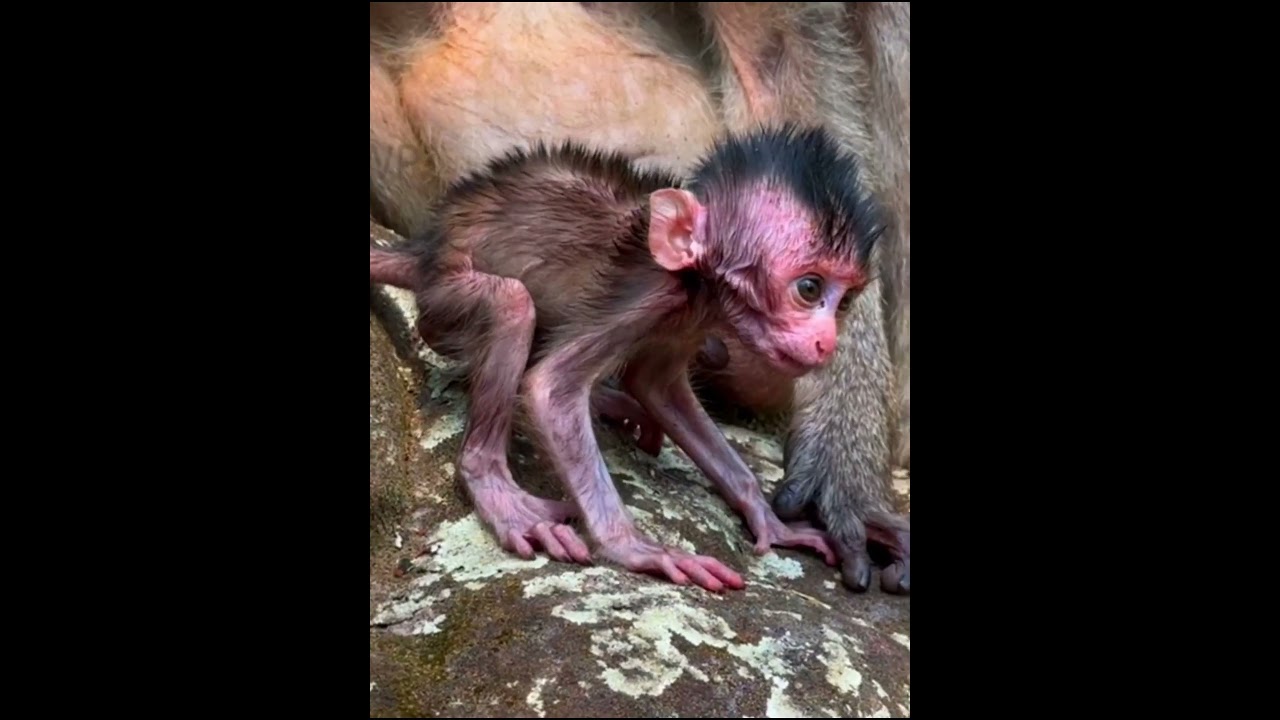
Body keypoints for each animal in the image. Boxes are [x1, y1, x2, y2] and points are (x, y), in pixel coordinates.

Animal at [369, 2, 910, 595]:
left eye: (844, 299)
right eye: (809, 289)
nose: (827, 341)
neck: (695, 282)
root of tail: (426, 250)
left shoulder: (688, 322)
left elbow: (659, 388)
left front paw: (803, 498)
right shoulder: (646, 301)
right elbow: (550, 390)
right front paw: (634, 548)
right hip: (451, 293)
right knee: (511, 307)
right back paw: (492, 482)